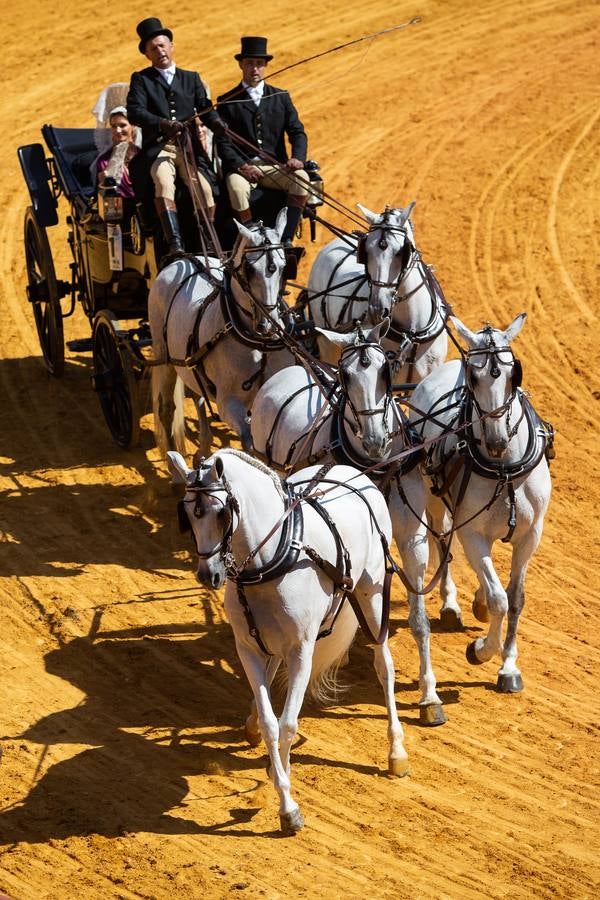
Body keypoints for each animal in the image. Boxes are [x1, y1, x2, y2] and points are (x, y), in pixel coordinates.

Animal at [148, 213, 292, 458]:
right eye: (249, 268)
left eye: (283, 267)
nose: (268, 325)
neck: (257, 342)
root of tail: (180, 260)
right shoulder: (228, 404)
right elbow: (249, 442)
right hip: (164, 358)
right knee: (166, 409)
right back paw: (174, 461)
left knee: (198, 394)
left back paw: (203, 448)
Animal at [169, 450, 412, 836]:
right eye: (188, 514)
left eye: (222, 513)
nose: (210, 575)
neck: (268, 563)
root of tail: (351, 472)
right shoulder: (247, 649)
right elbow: (272, 723)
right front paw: (277, 773)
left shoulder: (302, 651)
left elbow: (287, 724)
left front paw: (287, 805)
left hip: (372, 599)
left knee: (383, 667)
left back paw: (396, 751)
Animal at [251, 322, 448, 724]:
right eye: (345, 375)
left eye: (387, 369)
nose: (375, 440)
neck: (374, 465)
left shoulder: (412, 536)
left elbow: (419, 620)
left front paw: (429, 696)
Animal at [408, 312, 552, 692]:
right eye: (473, 379)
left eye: (514, 374)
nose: (497, 440)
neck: (505, 468)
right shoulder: (473, 534)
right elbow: (500, 599)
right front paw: (482, 650)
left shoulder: (530, 536)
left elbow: (515, 600)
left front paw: (509, 667)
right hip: (434, 500)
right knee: (442, 541)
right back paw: (451, 604)